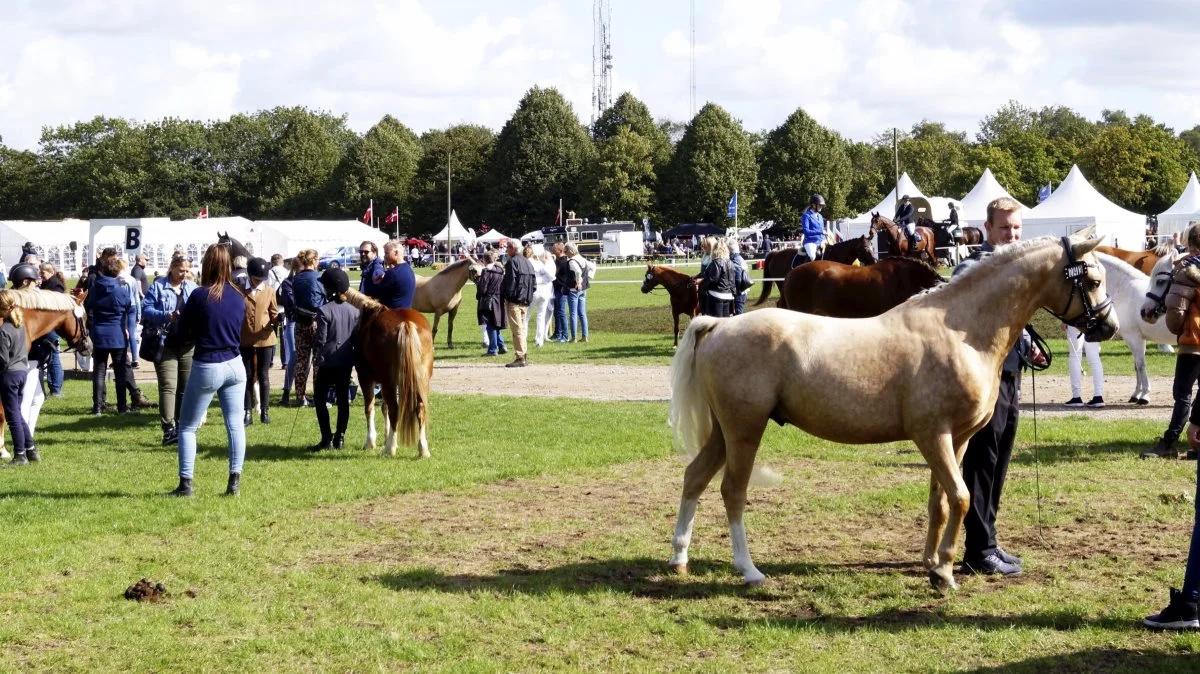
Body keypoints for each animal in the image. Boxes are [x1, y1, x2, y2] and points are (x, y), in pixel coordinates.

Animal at [345, 289, 434, 455]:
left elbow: (370, 408)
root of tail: (405, 323)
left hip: (388, 382)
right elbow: (383, 407)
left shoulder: (366, 378)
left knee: (395, 409)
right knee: (420, 408)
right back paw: (422, 449)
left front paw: (370, 442)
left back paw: (389, 449)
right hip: (420, 380)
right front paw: (387, 436)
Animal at [1099, 249, 1180, 400]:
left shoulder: (1134, 336)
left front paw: (1145, 394)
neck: (1124, 288)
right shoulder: (1132, 338)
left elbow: (1141, 365)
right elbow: (1136, 364)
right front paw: (1136, 393)